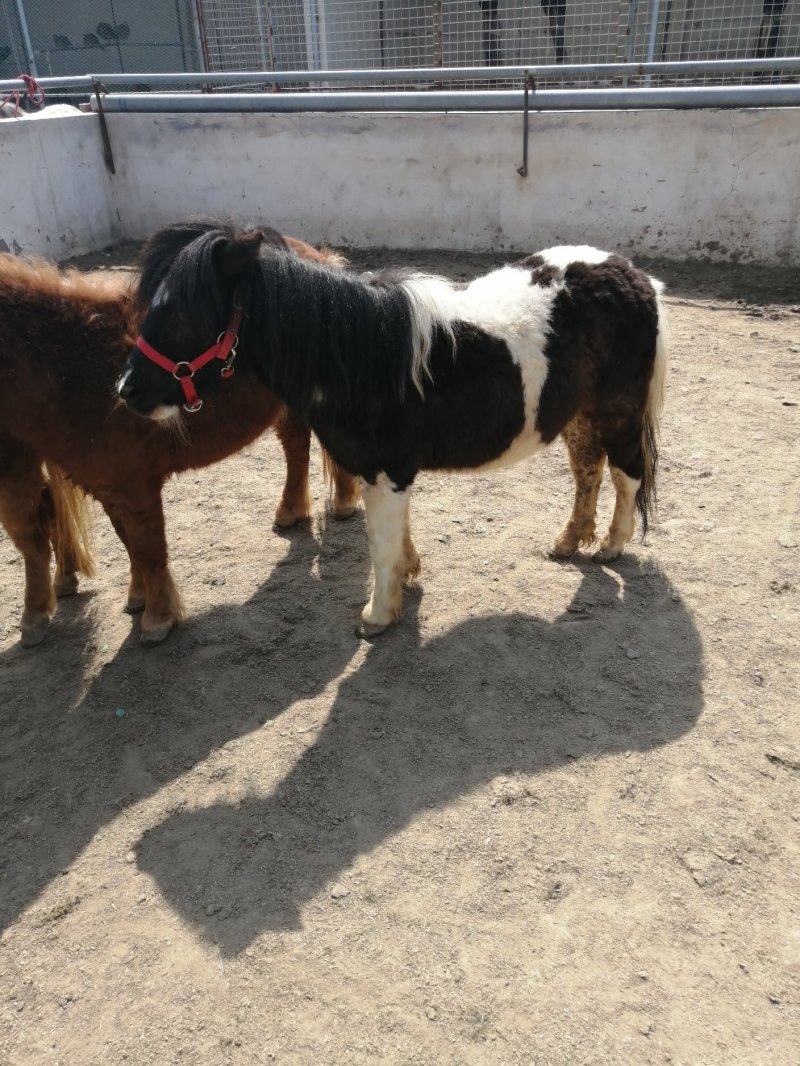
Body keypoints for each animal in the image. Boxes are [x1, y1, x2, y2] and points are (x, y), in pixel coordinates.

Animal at [0, 233, 359, 647]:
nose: (126, 390)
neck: (70, 365)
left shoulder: (134, 486)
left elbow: (146, 548)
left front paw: (157, 619)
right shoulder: (106, 485)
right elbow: (126, 542)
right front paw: (137, 597)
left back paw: (344, 502)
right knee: (297, 446)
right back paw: (291, 511)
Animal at [118, 221, 668, 637]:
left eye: (181, 313)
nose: (126, 389)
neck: (357, 352)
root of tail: (635, 277)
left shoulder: (384, 471)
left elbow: (380, 545)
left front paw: (378, 616)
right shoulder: (388, 474)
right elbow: (397, 536)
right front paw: (408, 578)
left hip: (618, 413)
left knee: (626, 475)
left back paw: (611, 546)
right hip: (580, 415)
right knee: (588, 472)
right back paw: (569, 541)